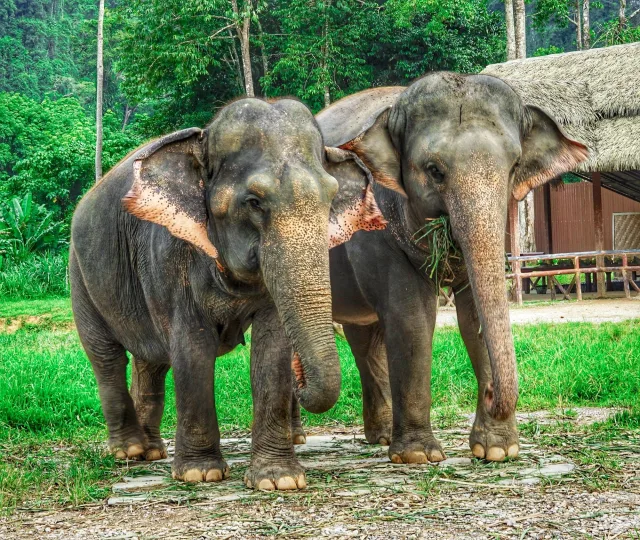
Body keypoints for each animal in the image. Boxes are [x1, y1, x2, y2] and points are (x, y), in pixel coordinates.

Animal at [69, 98, 385, 489]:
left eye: (330, 198)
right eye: (254, 201)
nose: (300, 376)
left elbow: (271, 345)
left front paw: (279, 480)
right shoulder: (169, 253)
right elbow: (192, 346)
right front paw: (200, 474)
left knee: (151, 360)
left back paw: (152, 452)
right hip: (79, 274)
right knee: (107, 356)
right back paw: (129, 451)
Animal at [306, 73, 589, 463]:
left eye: (514, 167)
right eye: (435, 171)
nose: (490, 393)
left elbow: (473, 317)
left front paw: (497, 451)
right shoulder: (376, 233)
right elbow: (412, 318)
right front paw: (418, 457)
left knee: (364, 338)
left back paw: (380, 437)